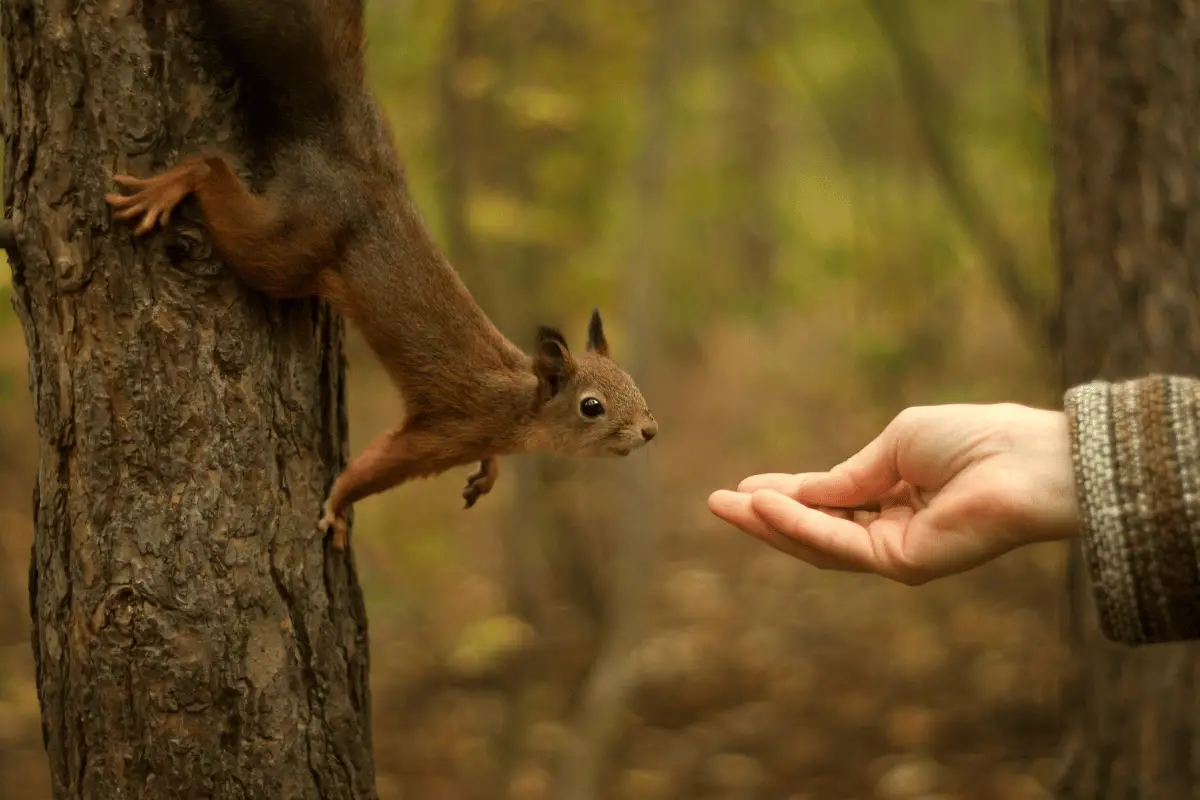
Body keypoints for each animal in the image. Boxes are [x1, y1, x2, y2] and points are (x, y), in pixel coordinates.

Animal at [105, 0, 657, 551]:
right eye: (592, 407)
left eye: (633, 383)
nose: (650, 431)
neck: (523, 405)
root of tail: (348, 157)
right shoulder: (452, 428)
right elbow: (379, 465)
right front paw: (338, 504)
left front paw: (489, 471)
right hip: (290, 247)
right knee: (216, 177)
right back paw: (173, 183)